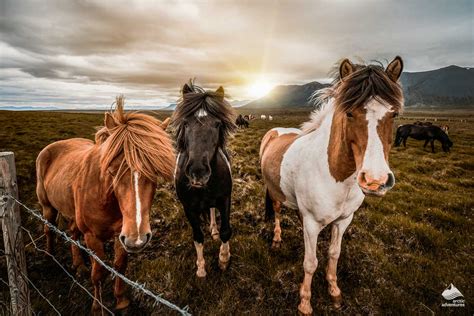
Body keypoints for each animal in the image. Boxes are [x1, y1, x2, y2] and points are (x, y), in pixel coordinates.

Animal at [35, 97, 176, 314]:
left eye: (155, 172)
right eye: (113, 169)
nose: (138, 238)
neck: (105, 196)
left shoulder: (122, 234)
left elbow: (120, 265)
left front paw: (121, 301)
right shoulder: (93, 236)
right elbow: (99, 272)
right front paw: (98, 307)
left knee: (73, 233)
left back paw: (79, 266)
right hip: (47, 207)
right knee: (49, 229)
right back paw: (50, 257)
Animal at [171, 81, 236, 276]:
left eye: (217, 124)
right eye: (186, 123)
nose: (198, 171)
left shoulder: (225, 199)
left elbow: (225, 231)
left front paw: (224, 259)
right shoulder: (189, 208)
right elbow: (198, 237)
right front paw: (201, 268)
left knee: (212, 210)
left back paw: (213, 230)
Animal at [260, 56, 404, 314]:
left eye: (394, 114)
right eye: (349, 113)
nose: (375, 180)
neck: (338, 179)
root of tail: (276, 131)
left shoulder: (344, 220)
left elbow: (334, 254)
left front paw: (334, 291)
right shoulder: (311, 224)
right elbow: (310, 263)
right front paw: (305, 302)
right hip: (275, 192)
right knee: (276, 212)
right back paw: (276, 239)